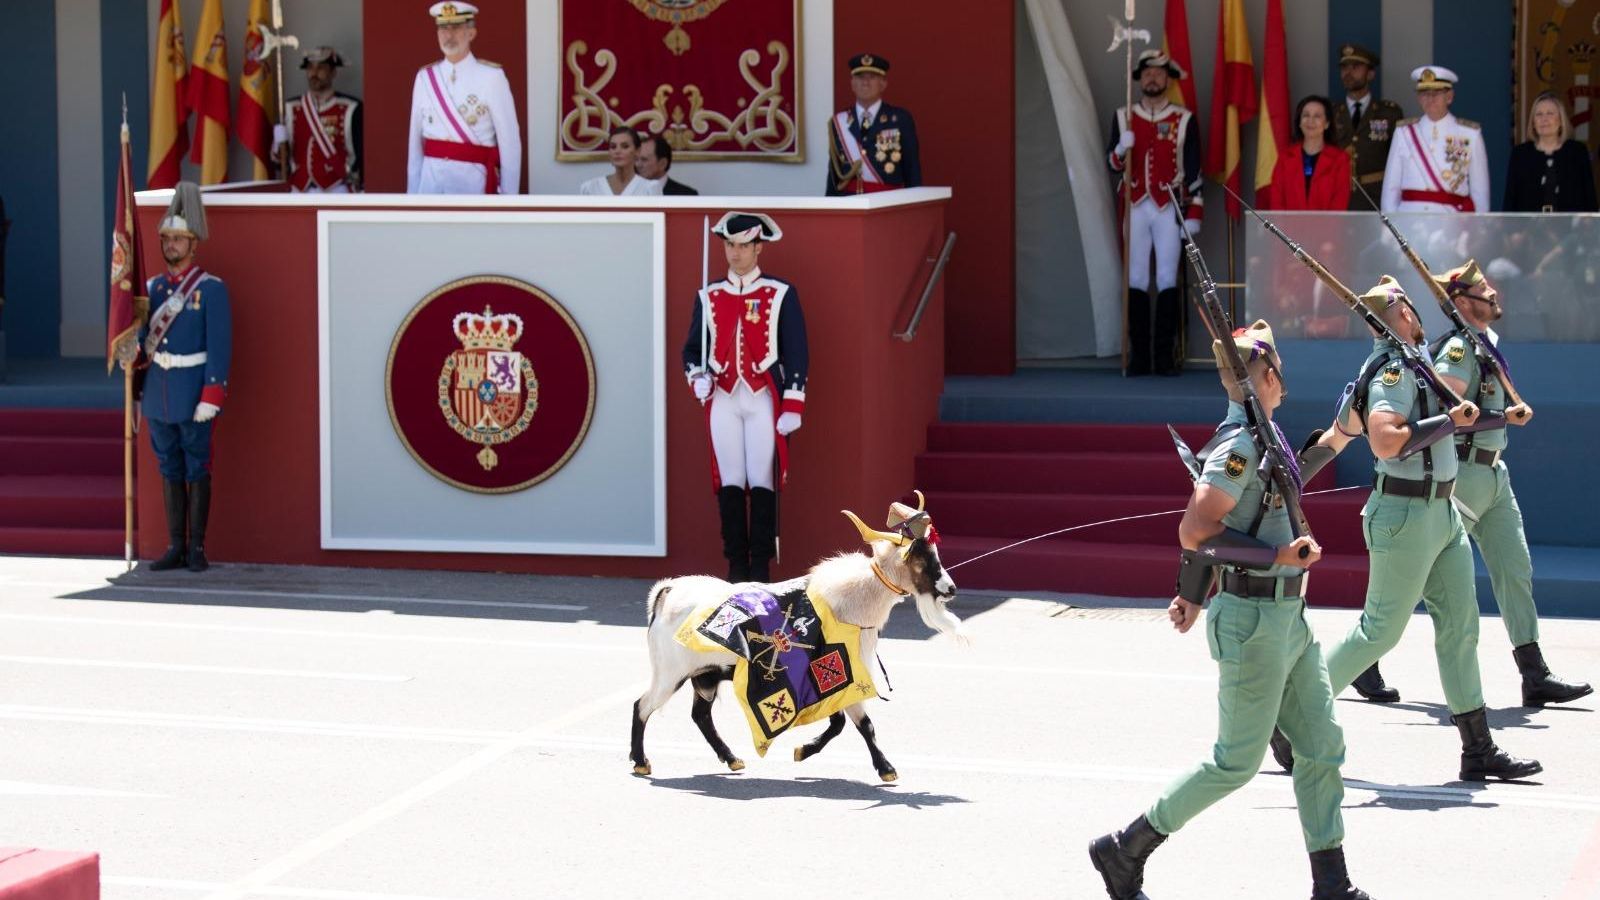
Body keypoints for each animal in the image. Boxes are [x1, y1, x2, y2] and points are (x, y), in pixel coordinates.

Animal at [630, 493, 961, 782]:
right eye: (923, 559)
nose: (951, 589)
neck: (848, 602)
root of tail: (666, 594)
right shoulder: (841, 675)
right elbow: (862, 724)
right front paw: (886, 769)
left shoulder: (832, 681)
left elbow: (840, 723)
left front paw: (804, 750)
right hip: (670, 673)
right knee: (642, 705)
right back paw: (641, 761)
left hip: (705, 675)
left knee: (700, 715)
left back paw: (731, 758)